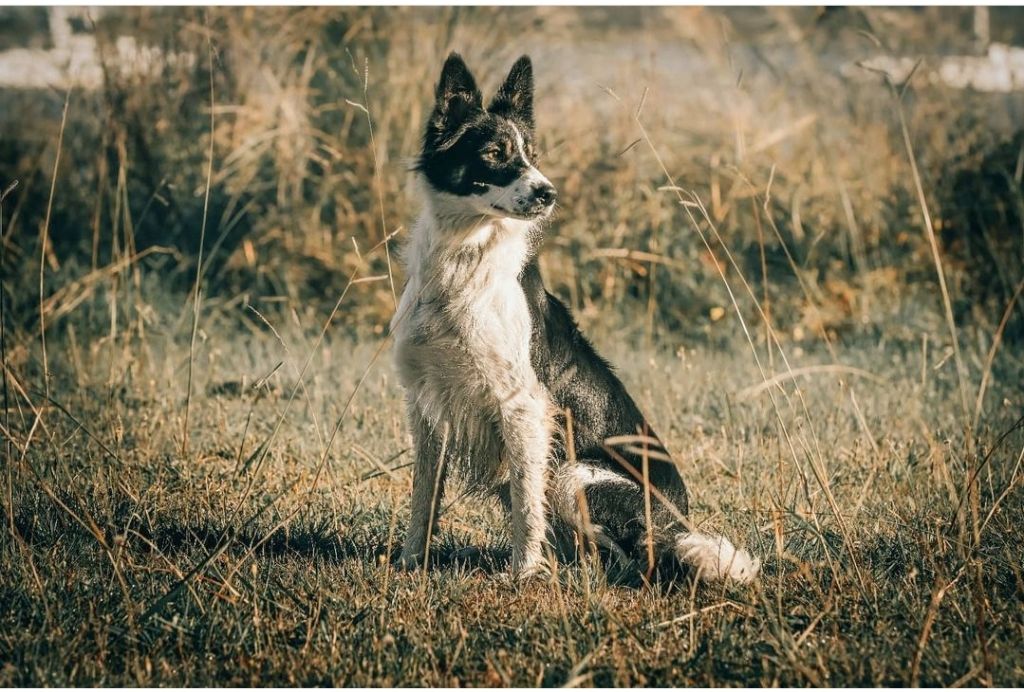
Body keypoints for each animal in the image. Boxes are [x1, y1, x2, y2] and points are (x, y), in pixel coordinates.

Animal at [391, 52, 761, 585]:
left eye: (533, 154)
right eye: (497, 153)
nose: (549, 193)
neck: (463, 258)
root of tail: (678, 523)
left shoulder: (523, 408)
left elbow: (527, 504)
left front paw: (523, 575)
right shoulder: (427, 403)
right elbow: (424, 497)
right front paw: (409, 563)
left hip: (573, 475)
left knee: (632, 559)